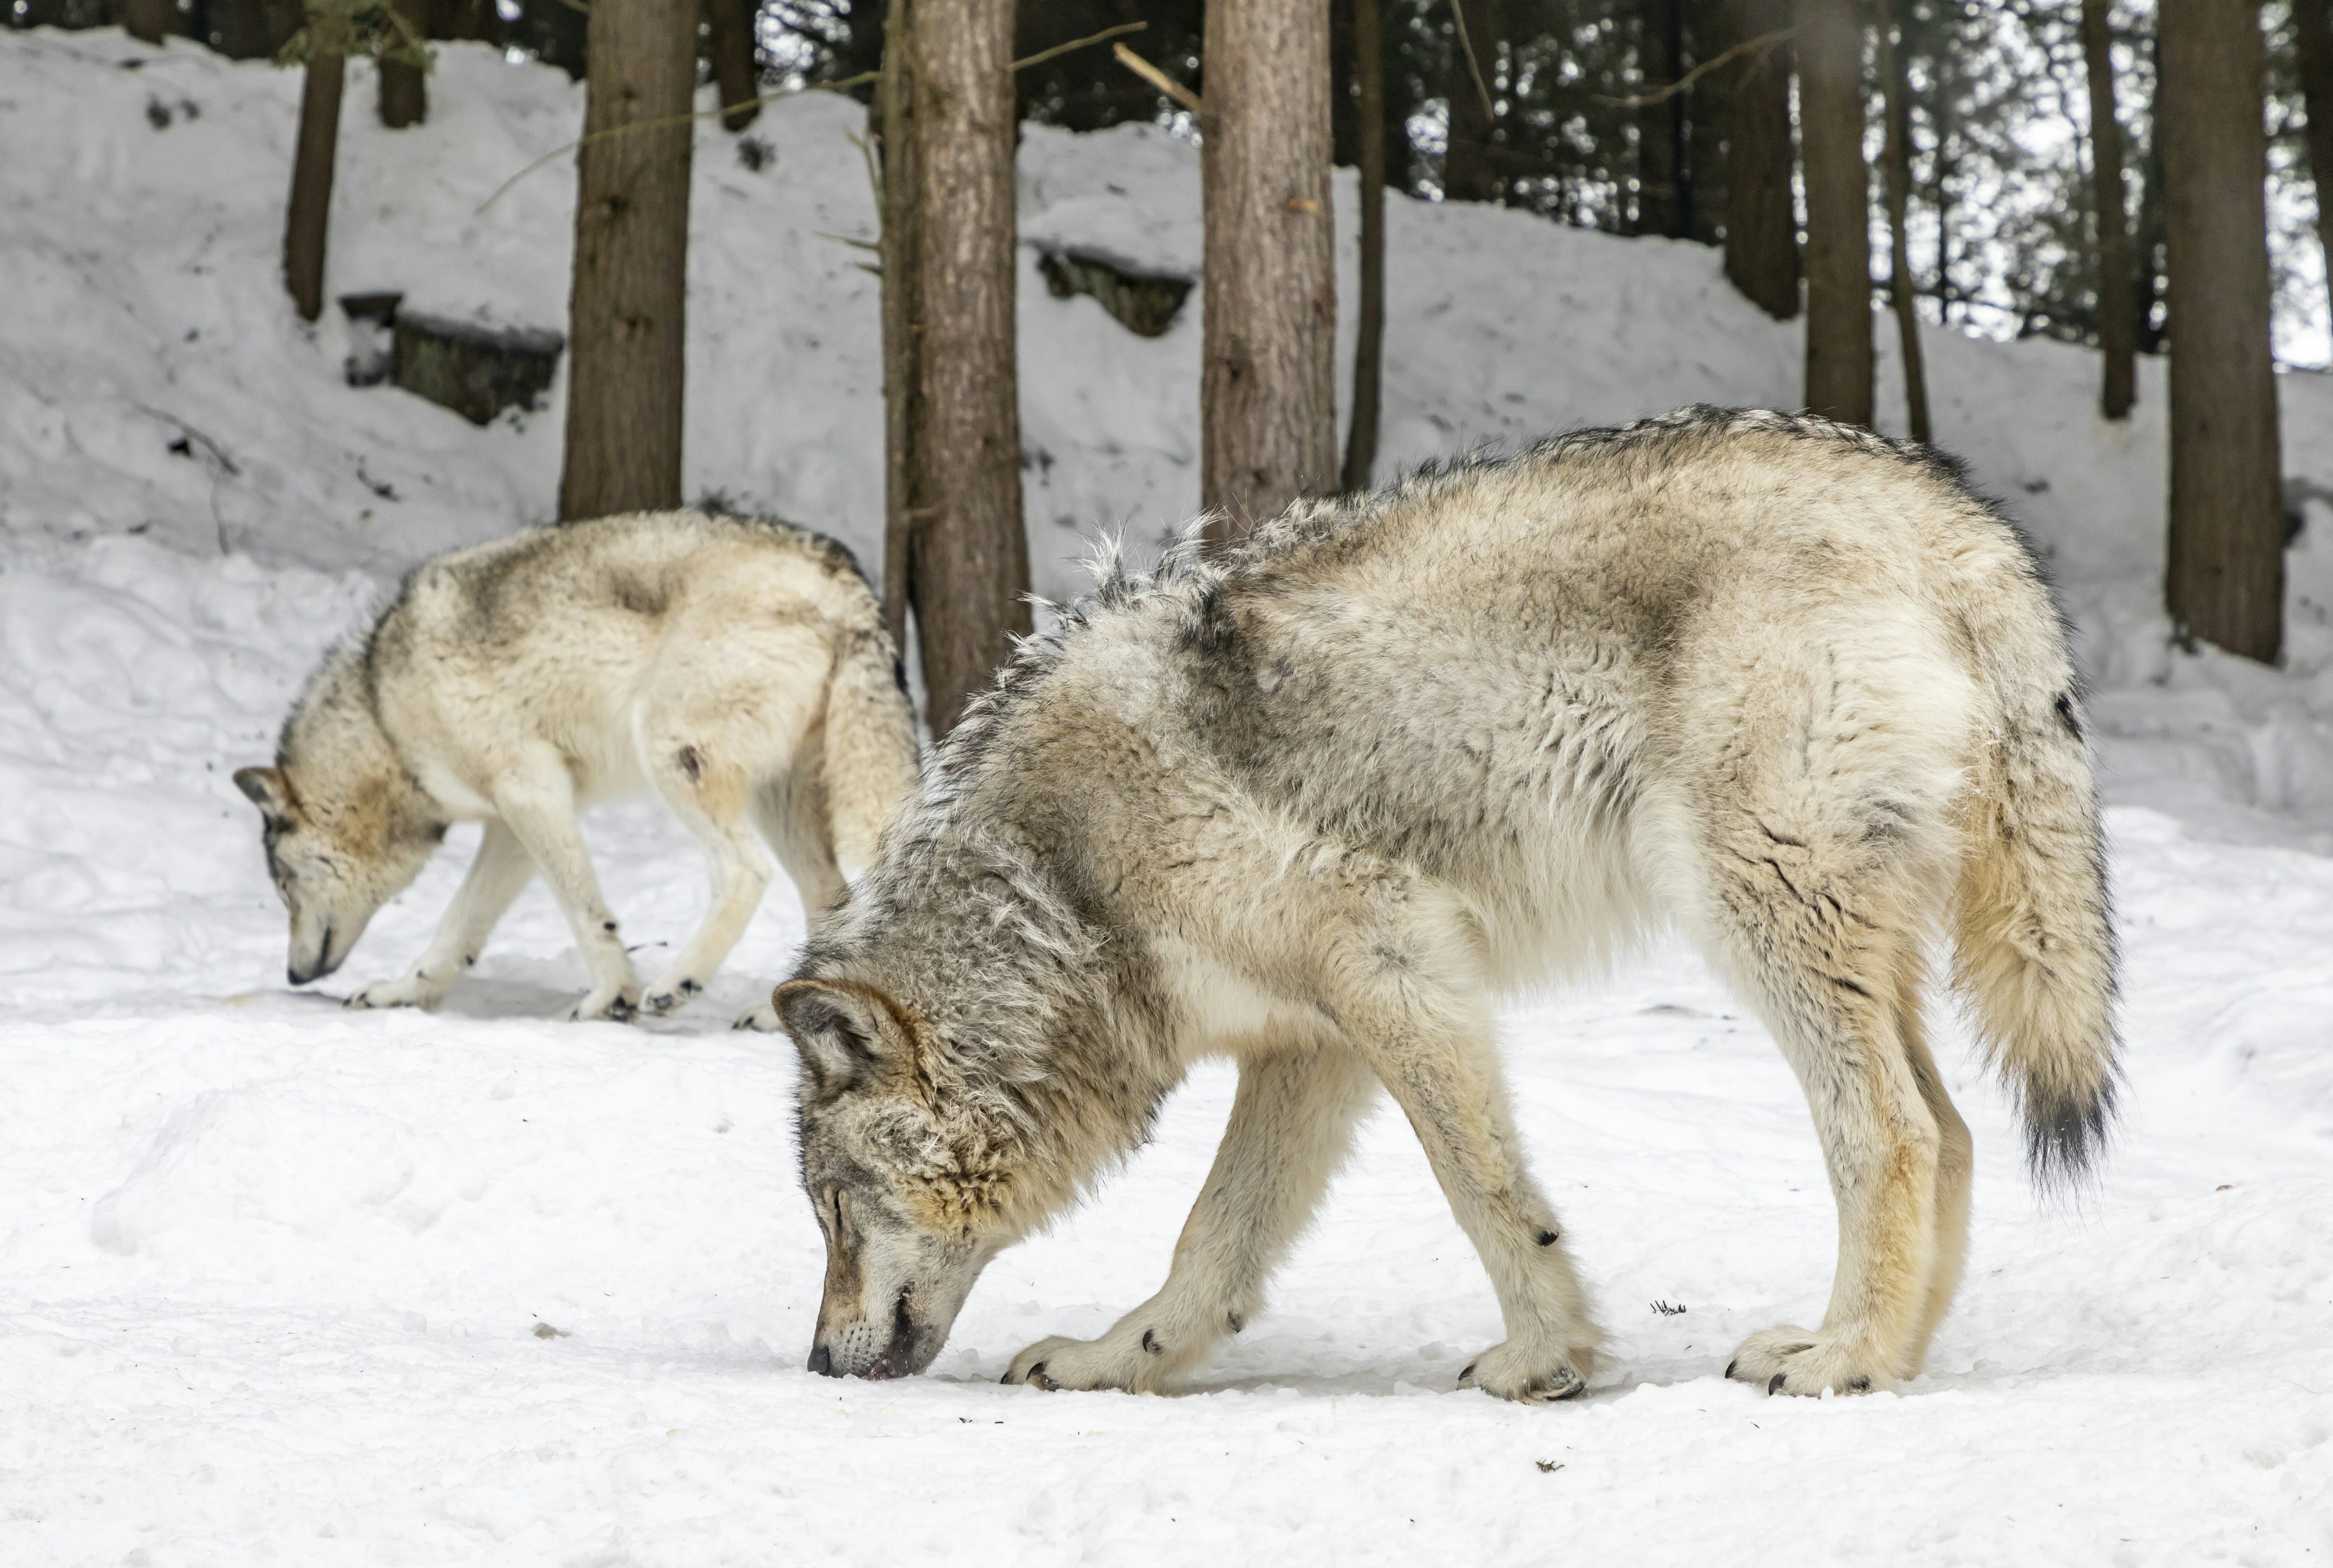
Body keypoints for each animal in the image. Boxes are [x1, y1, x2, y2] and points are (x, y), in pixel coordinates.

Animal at [235, 510, 919, 1025]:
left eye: (283, 886)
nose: (292, 973)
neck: (384, 713)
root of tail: (842, 576)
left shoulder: (531, 791)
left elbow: (585, 909)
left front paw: (611, 997)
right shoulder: (508, 825)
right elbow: (456, 927)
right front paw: (403, 992)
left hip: (675, 759)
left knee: (745, 873)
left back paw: (677, 982)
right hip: (779, 803)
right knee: (830, 898)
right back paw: (777, 1014)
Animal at [771, 408, 2119, 1401]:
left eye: (833, 1211)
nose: (819, 1361)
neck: (1066, 879)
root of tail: (1954, 519)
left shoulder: (1393, 965)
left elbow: (1484, 1191)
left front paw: (1545, 1361)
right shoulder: (1309, 1042)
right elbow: (1214, 1238)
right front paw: (1118, 1358)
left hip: (1756, 918)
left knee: (1891, 1132)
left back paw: (1839, 1358)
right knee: (1952, 1131)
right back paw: (1891, 1361)